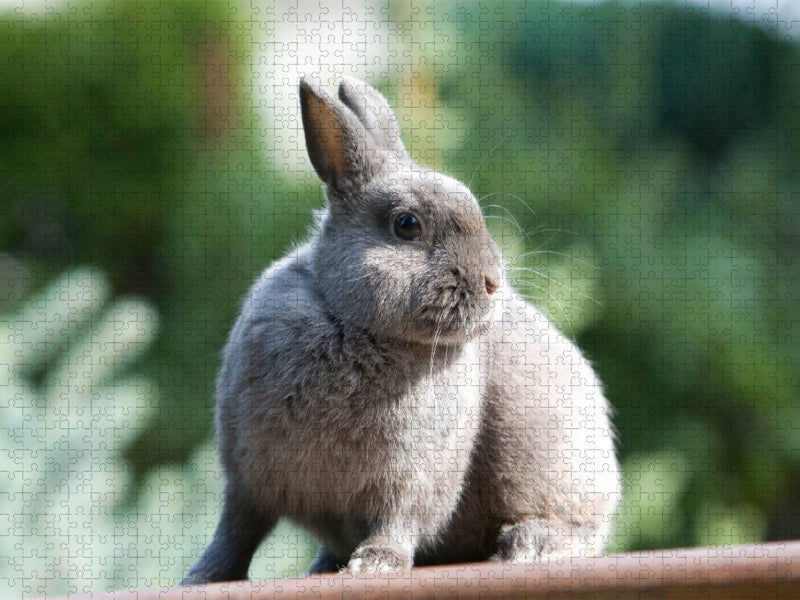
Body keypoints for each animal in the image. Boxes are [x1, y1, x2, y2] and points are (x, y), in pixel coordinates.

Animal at [180, 76, 620, 584]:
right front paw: (199, 577)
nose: (493, 282)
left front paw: (374, 564)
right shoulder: (247, 479)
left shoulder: (410, 479)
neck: (352, 323)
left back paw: (531, 545)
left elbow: (396, 521)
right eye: (406, 225)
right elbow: (235, 534)